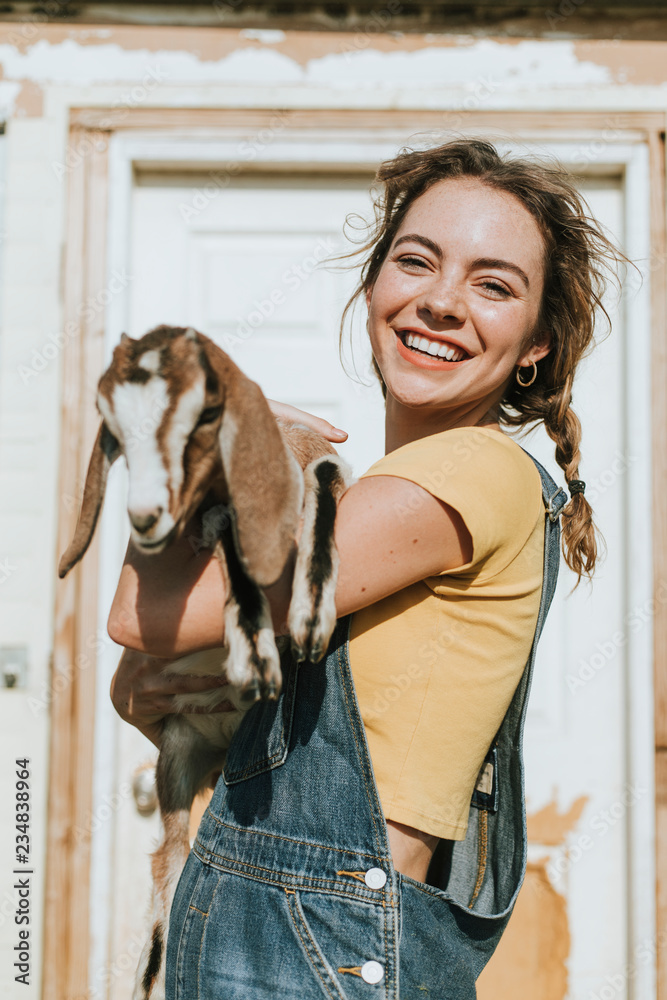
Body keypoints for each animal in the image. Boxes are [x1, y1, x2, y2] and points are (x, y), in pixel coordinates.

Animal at [59, 326, 352, 1000]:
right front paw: (254, 651)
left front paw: (307, 621)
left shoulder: (321, 469)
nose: (148, 519)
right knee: (168, 881)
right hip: (176, 759)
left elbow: (326, 482)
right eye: (118, 433)